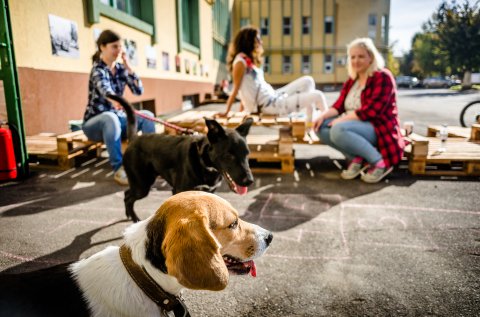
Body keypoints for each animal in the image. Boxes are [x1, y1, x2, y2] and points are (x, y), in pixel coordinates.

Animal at [107, 95, 253, 221]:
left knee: (127, 194)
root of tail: (134, 139)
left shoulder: (209, 192)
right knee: (128, 196)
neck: (203, 162)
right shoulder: (179, 191)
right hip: (142, 185)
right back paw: (134, 218)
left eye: (247, 153)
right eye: (229, 155)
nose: (249, 181)